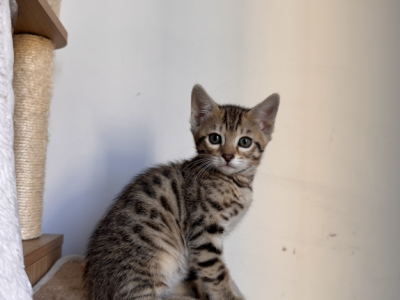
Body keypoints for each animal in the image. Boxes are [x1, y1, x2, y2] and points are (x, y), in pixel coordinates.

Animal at [83, 84, 278, 300]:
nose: (228, 156)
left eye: (244, 142)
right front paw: (228, 296)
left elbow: (202, 272)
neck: (235, 182)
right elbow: (216, 271)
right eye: (215, 138)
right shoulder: (202, 231)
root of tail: (95, 289)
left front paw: (203, 290)